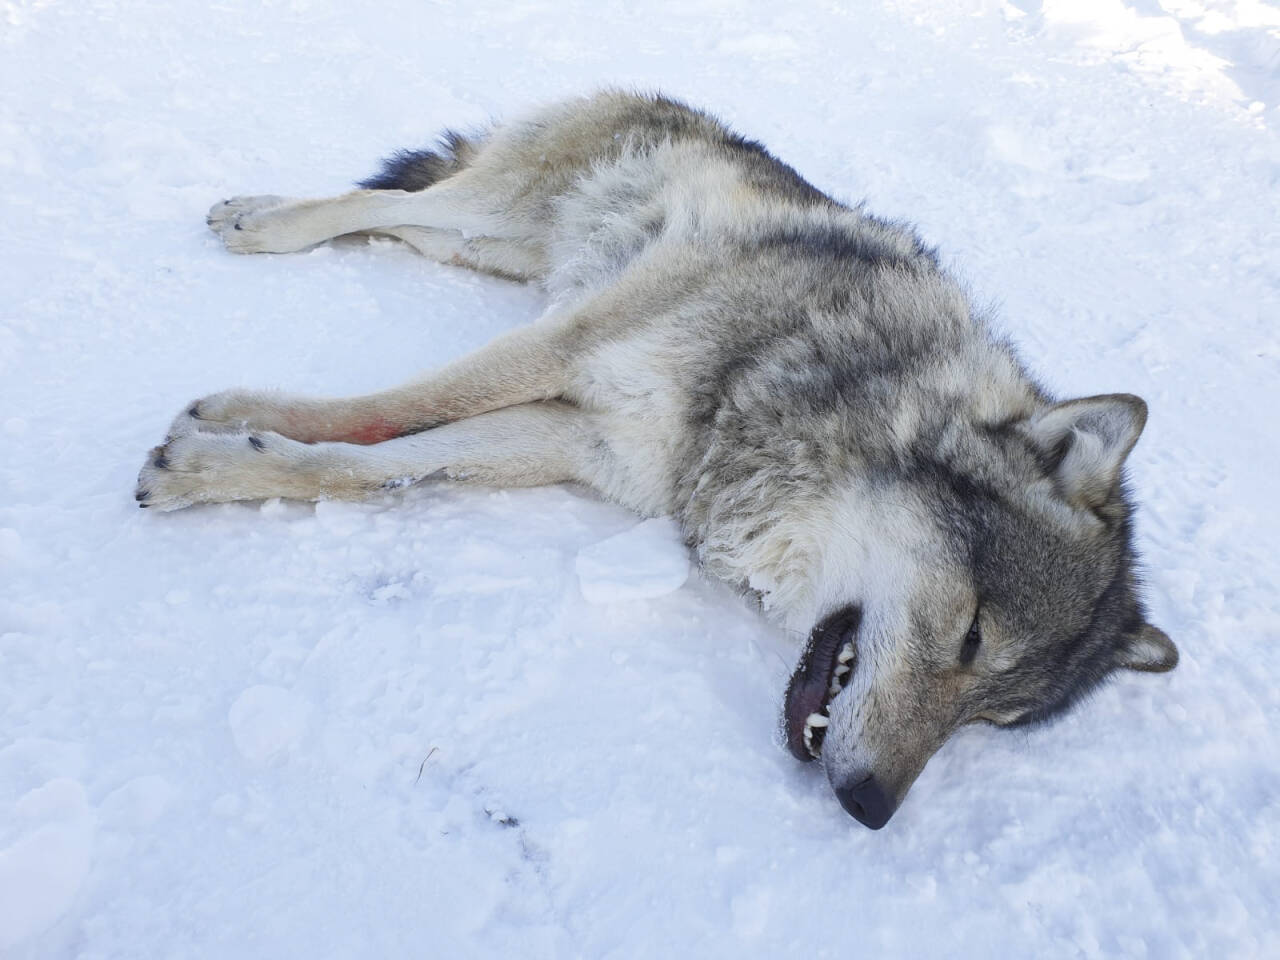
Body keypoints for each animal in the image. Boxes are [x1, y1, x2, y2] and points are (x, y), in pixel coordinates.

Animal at [135, 88, 1172, 829]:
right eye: (971, 636)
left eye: (986, 720)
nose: (870, 810)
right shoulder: (569, 345)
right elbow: (397, 407)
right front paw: (228, 424)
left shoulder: (575, 437)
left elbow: (385, 463)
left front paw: (226, 458)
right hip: (502, 215)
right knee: (378, 196)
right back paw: (257, 219)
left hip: (491, 247)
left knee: (397, 214)